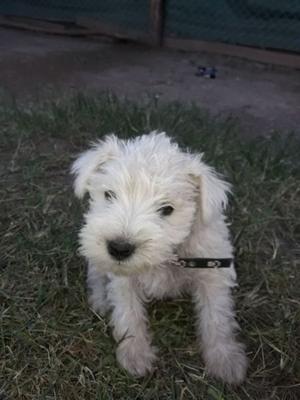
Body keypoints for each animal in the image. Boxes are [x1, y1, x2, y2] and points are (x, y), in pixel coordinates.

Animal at [71, 132, 247, 384]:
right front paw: (135, 355)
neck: (167, 257)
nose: (119, 248)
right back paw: (100, 300)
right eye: (109, 195)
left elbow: (217, 317)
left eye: (167, 209)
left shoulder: (212, 274)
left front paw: (226, 361)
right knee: (96, 273)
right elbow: (128, 313)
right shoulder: (124, 281)